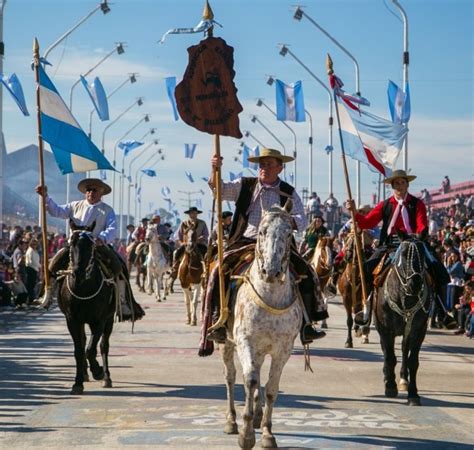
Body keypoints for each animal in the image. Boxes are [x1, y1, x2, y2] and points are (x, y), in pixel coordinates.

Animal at [57, 221, 115, 394]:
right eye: (71, 243)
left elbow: (92, 349)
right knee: (83, 343)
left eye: (92, 245)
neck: (83, 288)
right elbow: (79, 350)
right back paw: (84, 373)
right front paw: (77, 382)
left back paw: (106, 377)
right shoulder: (72, 320)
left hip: (109, 319)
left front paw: (97, 371)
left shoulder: (100, 320)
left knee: (103, 345)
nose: (78, 273)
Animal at [219, 202, 302, 448]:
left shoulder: (283, 350)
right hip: (227, 343)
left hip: (262, 350)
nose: (271, 271)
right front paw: (246, 435)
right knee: (231, 377)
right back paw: (232, 421)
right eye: (262, 231)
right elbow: (250, 380)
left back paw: (256, 416)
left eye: (288, 233)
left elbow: (271, 389)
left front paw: (266, 432)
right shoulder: (245, 341)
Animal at [376, 234, 432, 406]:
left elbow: (413, 361)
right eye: (404, 254)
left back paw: (403, 380)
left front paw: (413, 394)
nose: (416, 284)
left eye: (423, 254)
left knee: (404, 349)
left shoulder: (419, 330)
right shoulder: (386, 328)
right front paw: (390, 386)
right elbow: (390, 357)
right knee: (387, 352)